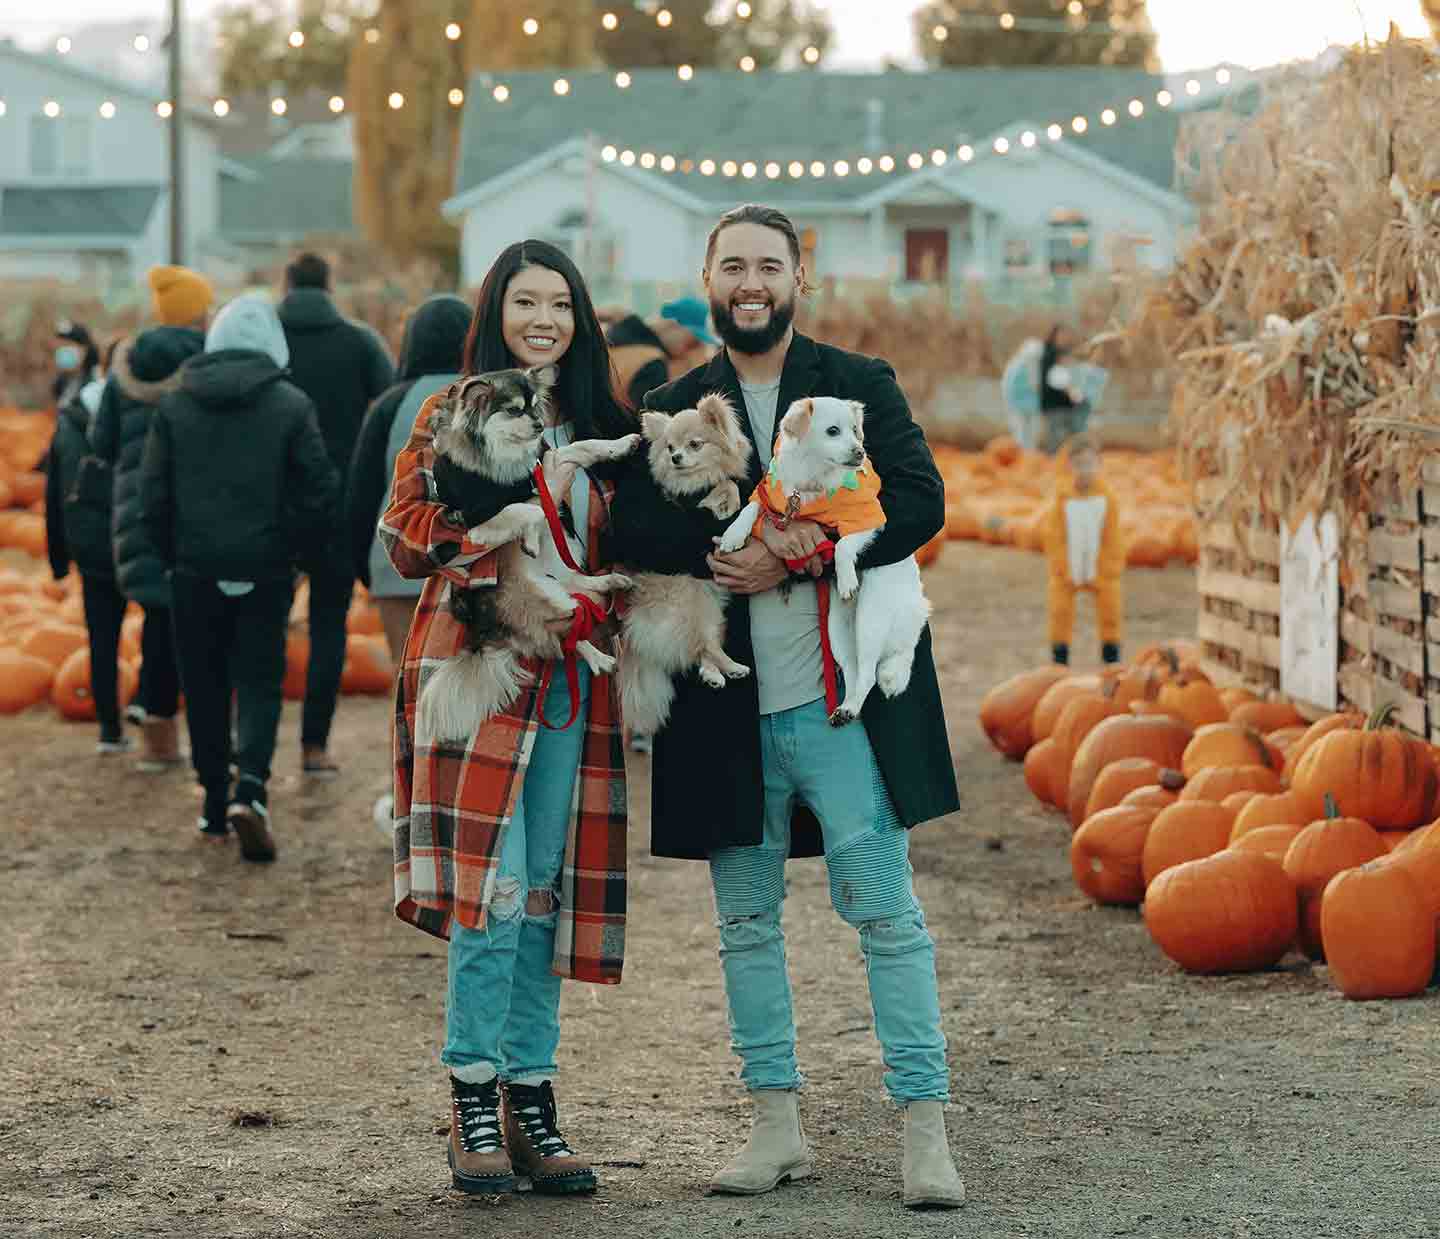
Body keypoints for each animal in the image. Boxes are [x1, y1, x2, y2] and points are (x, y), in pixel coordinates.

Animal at [420, 363, 639, 737]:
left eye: (536, 408)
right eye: (513, 410)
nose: (538, 426)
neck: (504, 458)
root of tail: (491, 637)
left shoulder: (545, 463)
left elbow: (581, 446)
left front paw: (620, 444)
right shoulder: (477, 520)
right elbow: (529, 509)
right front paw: (531, 537)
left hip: (564, 566)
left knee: (577, 590)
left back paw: (610, 582)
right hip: (543, 598)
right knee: (562, 635)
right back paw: (599, 658)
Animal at [613, 391, 754, 731]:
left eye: (694, 445)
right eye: (670, 448)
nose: (676, 458)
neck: (698, 480)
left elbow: (730, 482)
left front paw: (729, 499)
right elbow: (720, 490)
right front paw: (722, 503)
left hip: (711, 611)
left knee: (702, 649)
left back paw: (718, 673)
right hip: (692, 606)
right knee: (705, 646)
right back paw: (730, 667)